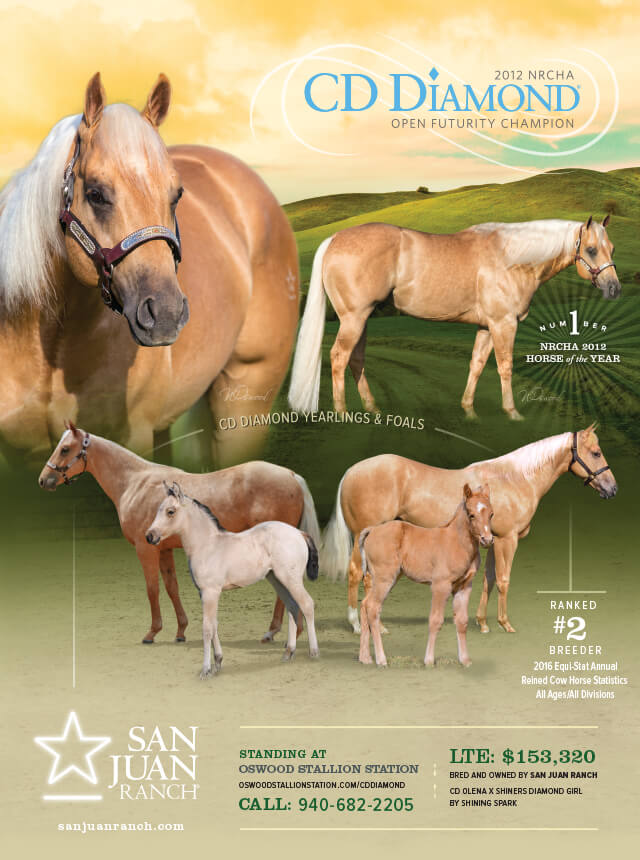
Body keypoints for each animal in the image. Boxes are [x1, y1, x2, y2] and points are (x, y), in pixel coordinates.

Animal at [38, 422, 320, 645]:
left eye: (65, 448)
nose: (44, 480)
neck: (135, 483)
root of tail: (291, 475)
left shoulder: (145, 549)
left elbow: (152, 589)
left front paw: (151, 633)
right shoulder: (163, 549)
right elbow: (171, 587)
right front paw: (180, 631)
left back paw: (280, 632)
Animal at [146, 482, 320, 678]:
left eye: (170, 511)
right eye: (158, 510)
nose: (150, 536)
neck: (207, 546)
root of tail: (299, 533)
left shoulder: (211, 592)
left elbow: (207, 628)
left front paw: (205, 670)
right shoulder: (204, 594)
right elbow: (214, 625)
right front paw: (218, 663)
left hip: (291, 579)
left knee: (307, 604)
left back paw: (314, 653)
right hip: (278, 580)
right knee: (292, 606)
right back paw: (288, 653)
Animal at [288, 217, 619, 419]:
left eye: (611, 248)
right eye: (591, 249)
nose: (614, 288)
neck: (511, 259)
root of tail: (334, 239)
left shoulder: (486, 326)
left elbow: (477, 365)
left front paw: (469, 410)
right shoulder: (504, 324)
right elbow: (505, 367)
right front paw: (512, 412)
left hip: (362, 319)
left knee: (356, 360)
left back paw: (373, 409)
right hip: (353, 318)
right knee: (339, 357)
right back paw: (343, 413)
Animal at [321, 425, 616, 634]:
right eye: (596, 452)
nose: (612, 488)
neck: (514, 478)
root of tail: (351, 471)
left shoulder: (492, 540)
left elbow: (489, 579)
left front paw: (482, 623)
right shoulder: (507, 540)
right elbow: (504, 580)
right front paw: (505, 624)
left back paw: (377, 624)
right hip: (363, 537)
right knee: (355, 573)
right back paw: (358, 625)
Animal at [359, 484, 494, 668]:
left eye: (491, 514)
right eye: (471, 514)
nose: (487, 540)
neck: (457, 542)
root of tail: (373, 529)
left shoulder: (464, 586)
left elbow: (462, 621)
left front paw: (465, 660)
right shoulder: (440, 586)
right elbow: (435, 621)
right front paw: (429, 661)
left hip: (383, 579)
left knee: (364, 604)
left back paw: (364, 657)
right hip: (384, 579)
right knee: (372, 607)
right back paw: (381, 659)